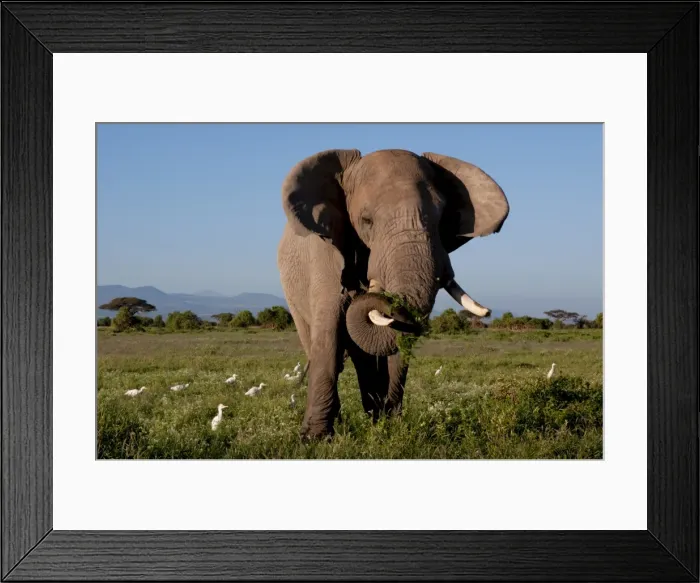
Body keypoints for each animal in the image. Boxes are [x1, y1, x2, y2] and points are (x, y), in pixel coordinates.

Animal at [277, 148, 509, 440]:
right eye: (366, 221)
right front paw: (316, 439)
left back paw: (373, 417)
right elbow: (329, 331)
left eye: (441, 220)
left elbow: (397, 343)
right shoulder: (325, 255)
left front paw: (390, 430)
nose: (366, 291)